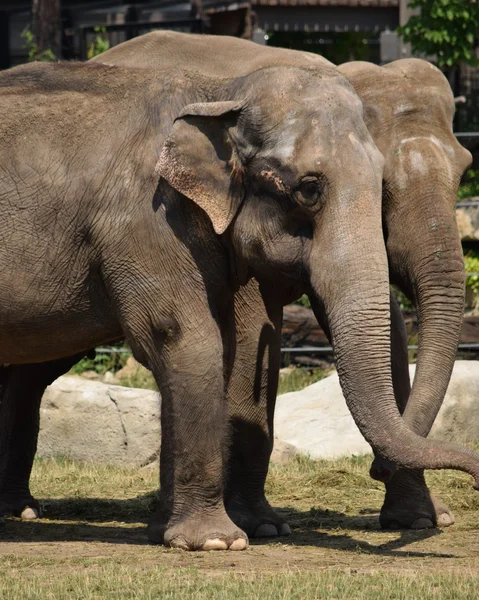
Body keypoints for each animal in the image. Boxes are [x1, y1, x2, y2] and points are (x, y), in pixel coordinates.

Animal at [0, 34, 478, 548]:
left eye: (464, 171)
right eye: (309, 189)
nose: (376, 469)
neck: (226, 94)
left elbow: (384, 334)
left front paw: (421, 520)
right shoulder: (150, 219)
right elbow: (201, 338)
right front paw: (230, 536)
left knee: (33, 368)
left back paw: (20, 511)